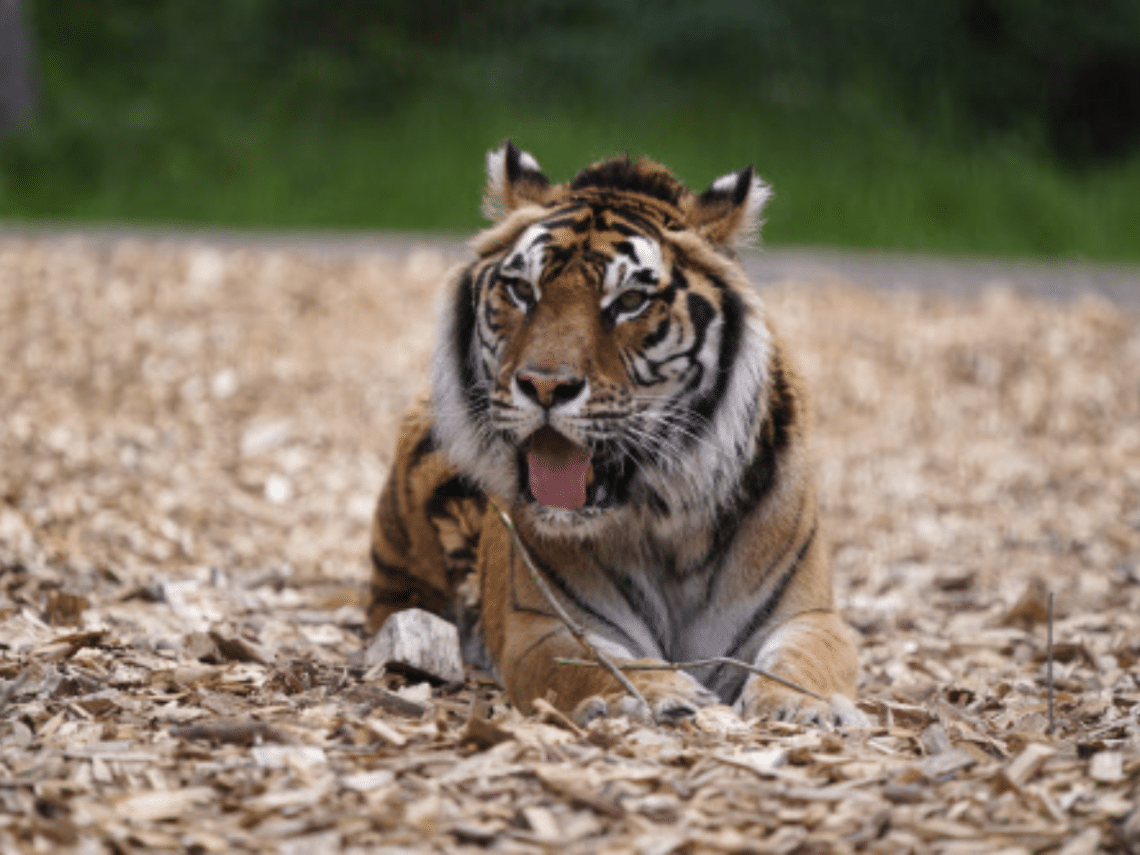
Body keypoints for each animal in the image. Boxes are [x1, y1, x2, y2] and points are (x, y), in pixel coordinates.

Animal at [367, 141, 864, 726]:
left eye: (629, 301)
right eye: (521, 290)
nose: (545, 385)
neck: (669, 527)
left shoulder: (809, 615)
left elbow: (803, 661)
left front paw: (801, 709)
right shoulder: (546, 627)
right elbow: (595, 664)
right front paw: (659, 695)